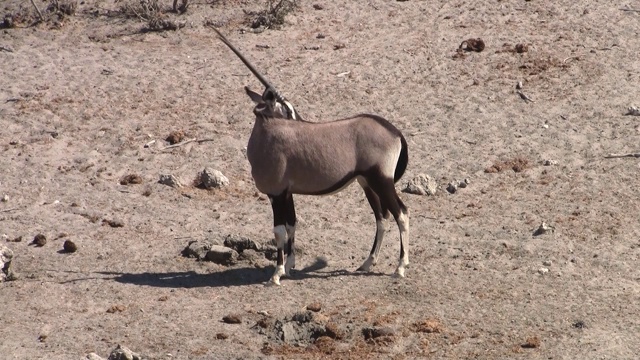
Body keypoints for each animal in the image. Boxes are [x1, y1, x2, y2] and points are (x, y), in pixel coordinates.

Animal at [214, 28, 410, 286]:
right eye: (286, 109)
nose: (300, 121)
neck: (267, 136)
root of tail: (394, 131)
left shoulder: (276, 194)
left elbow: (279, 230)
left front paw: (276, 274)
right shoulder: (286, 193)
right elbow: (291, 224)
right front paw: (289, 267)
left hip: (382, 181)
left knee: (401, 214)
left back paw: (400, 267)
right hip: (367, 183)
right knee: (381, 217)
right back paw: (367, 263)